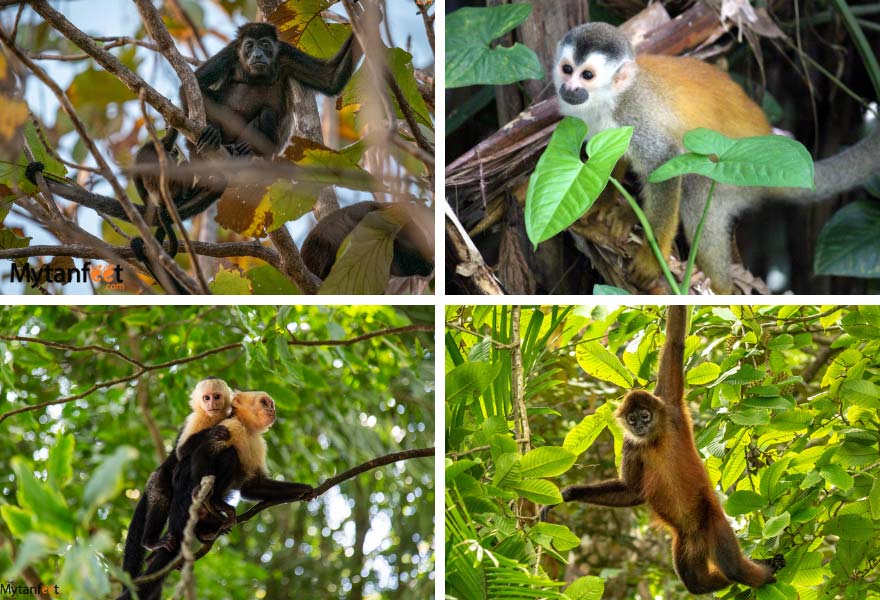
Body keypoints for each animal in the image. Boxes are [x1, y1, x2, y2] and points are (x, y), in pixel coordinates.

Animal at [118, 378, 232, 584]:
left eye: (217, 396)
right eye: (206, 397)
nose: (212, 403)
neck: (211, 417)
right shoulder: (195, 420)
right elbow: (181, 451)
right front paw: (213, 432)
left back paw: (205, 530)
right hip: (158, 479)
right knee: (162, 494)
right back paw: (151, 542)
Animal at [544, 310, 784, 596]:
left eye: (645, 416)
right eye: (632, 419)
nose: (639, 426)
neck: (654, 439)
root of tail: (697, 534)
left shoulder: (670, 408)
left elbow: (674, 343)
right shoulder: (632, 445)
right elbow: (632, 491)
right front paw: (567, 494)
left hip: (712, 521)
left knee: (733, 567)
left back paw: (766, 571)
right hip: (684, 541)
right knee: (696, 583)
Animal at [556, 22, 880, 294]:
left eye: (587, 75)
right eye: (567, 68)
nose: (569, 88)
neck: (608, 100)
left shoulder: (632, 115)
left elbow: (663, 159)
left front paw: (651, 256)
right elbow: (610, 154)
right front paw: (606, 201)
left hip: (735, 176)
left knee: (694, 193)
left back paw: (721, 290)